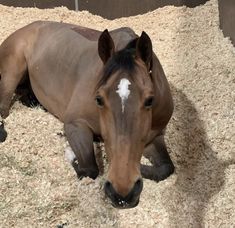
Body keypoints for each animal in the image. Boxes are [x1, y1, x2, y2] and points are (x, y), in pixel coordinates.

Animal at [0, 21, 174, 208]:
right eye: (99, 99)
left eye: (150, 100)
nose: (123, 193)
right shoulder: (75, 124)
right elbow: (89, 169)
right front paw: (72, 155)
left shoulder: (154, 136)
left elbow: (167, 167)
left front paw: (142, 168)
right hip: (12, 72)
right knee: (3, 109)